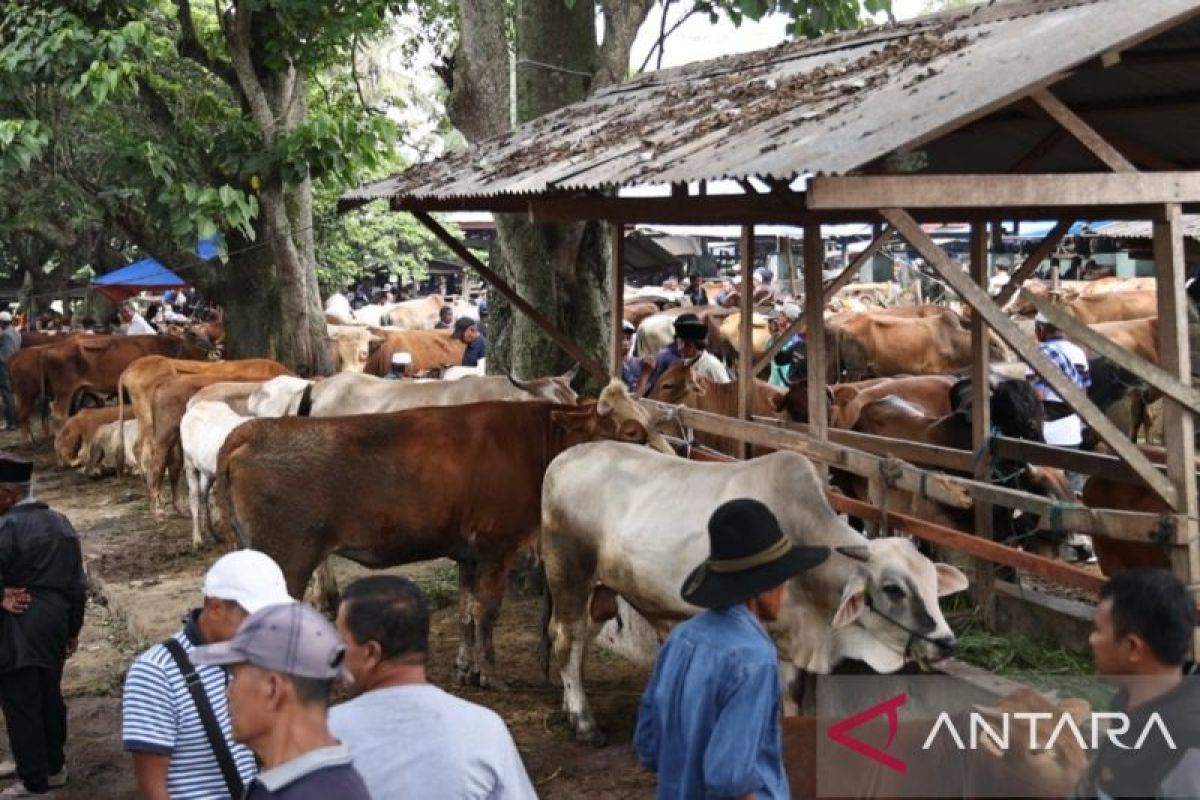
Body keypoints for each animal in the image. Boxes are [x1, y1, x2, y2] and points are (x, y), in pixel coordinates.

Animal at [178, 400, 249, 551]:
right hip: (189, 463)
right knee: (195, 498)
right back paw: (197, 540)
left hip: (210, 472)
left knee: (205, 495)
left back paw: (213, 533)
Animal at [211, 381, 672, 690]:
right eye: (632, 432)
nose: (673, 460)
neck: (534, 440)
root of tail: (250, 430)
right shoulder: (498, 546)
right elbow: (486, 612)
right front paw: (489, 674)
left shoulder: (467, 552)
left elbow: (467, 610)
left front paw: (466, 668)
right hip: (285, 558)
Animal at [540, 443, 969, 743]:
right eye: (893, 589)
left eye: (934, 586)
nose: (946, 642)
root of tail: (562, 459)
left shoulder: (793, 641)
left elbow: (793, 694)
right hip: (570, 577)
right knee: (565, 640)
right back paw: (583, 722)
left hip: (600, 590)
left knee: (578, 642)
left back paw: (568, 705)